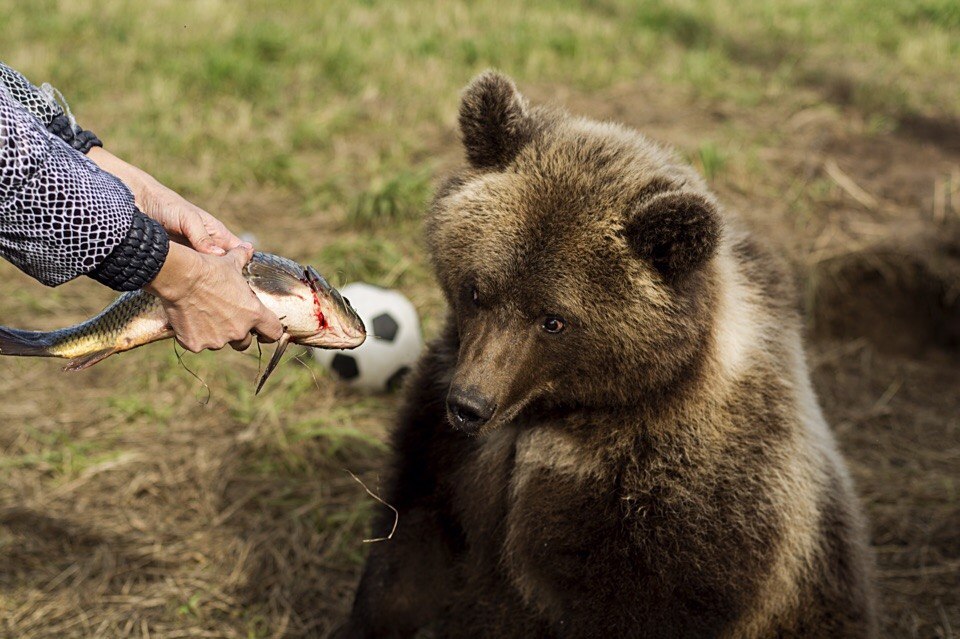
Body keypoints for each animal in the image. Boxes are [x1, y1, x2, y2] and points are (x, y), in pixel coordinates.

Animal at [338, 72, 876, 636]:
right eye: (476, 289)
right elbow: (409, 551)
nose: (470, 405)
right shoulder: (446, 435)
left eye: (554, 320)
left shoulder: (679, 509)